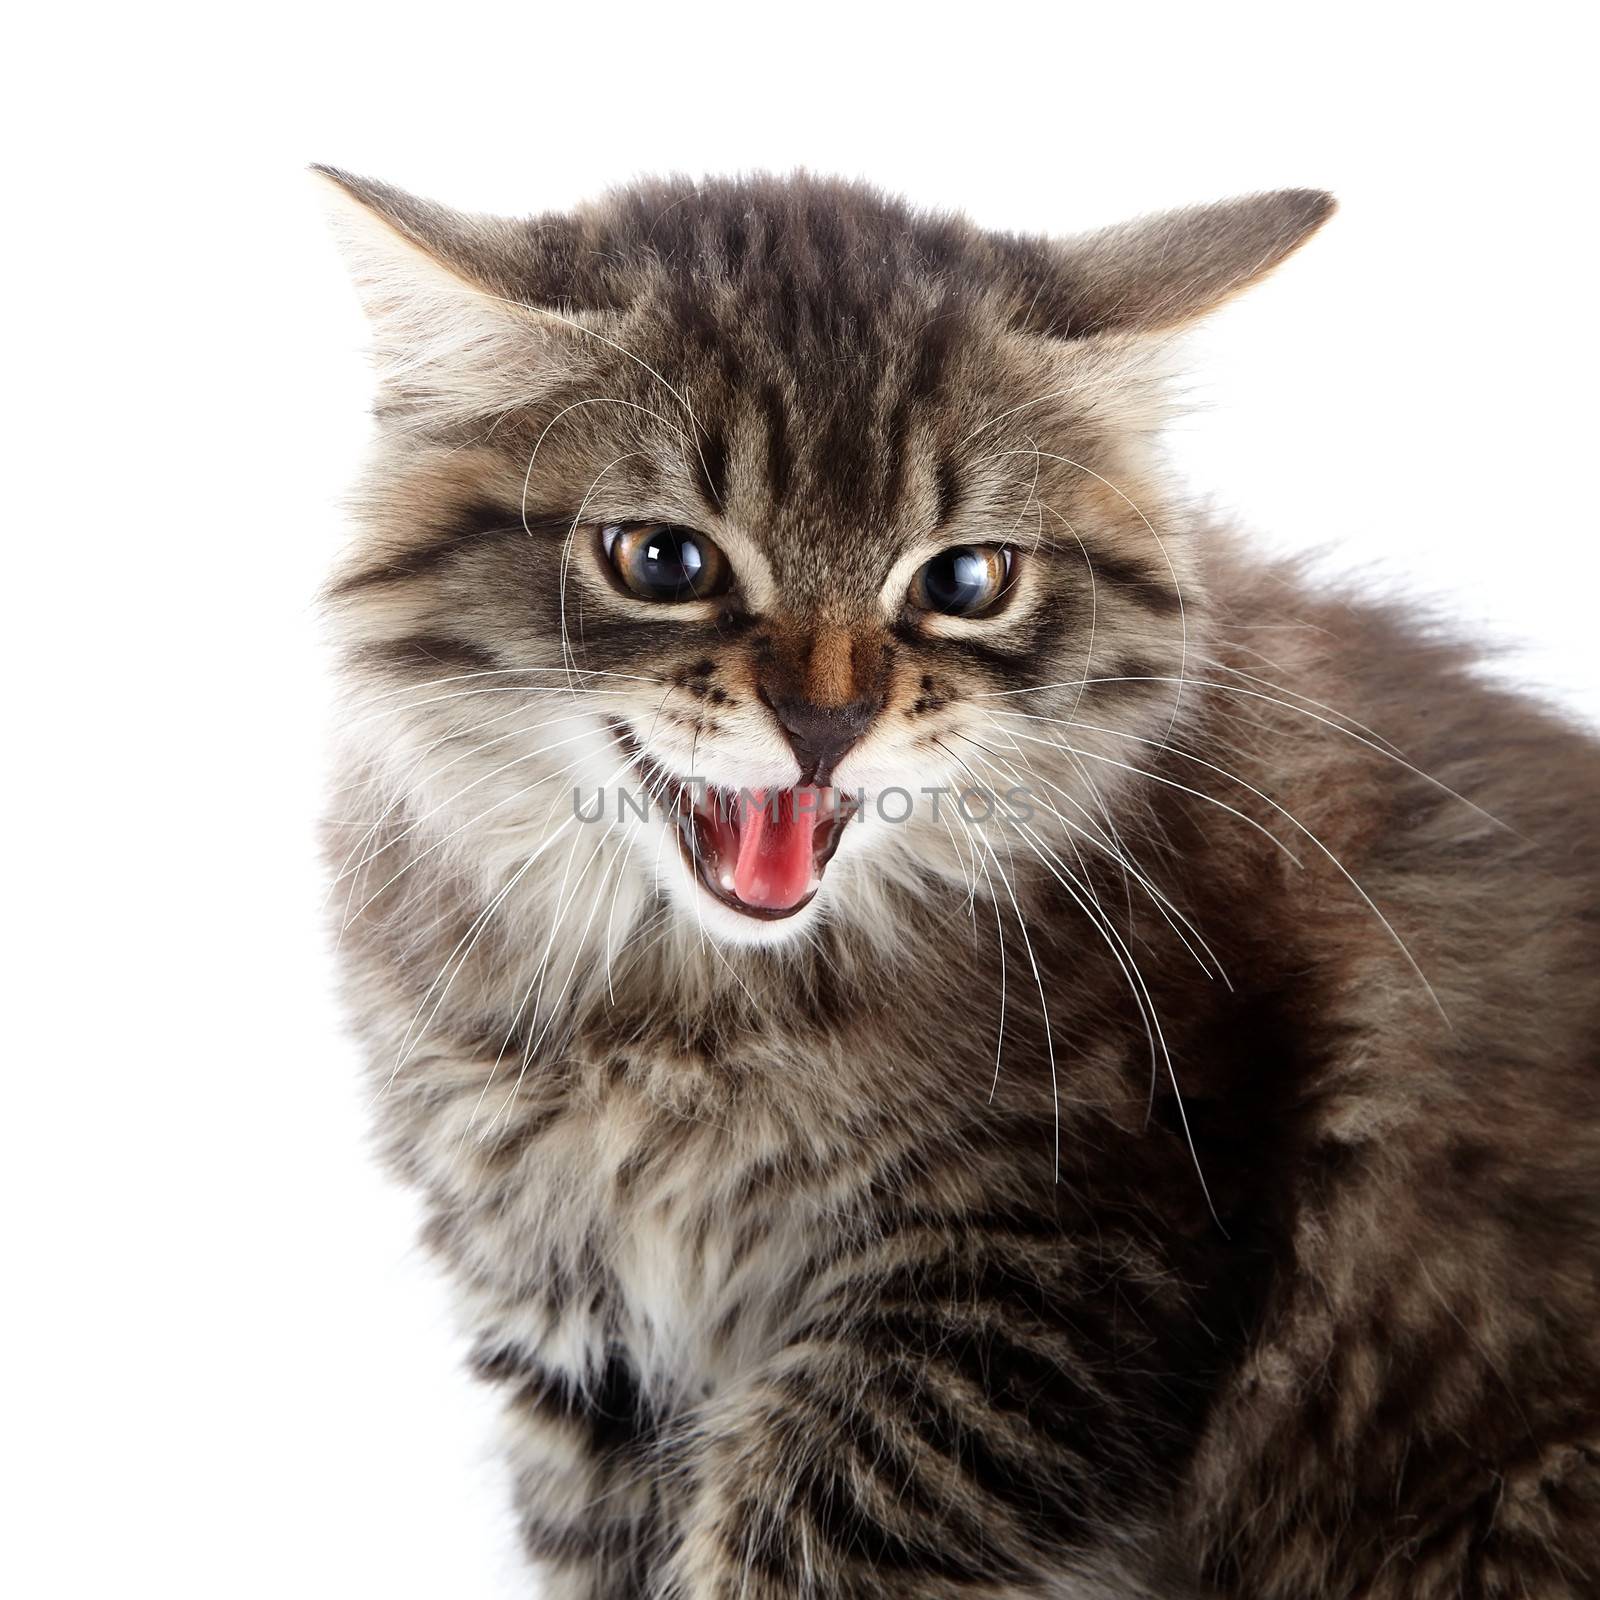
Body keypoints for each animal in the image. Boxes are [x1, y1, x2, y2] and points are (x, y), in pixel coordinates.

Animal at [315, 168, 1600, 1593]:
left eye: (966, 580)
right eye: (662, 560)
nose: (825, 721)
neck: (685, 1015)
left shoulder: (1035, 1285)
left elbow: (787, 1539)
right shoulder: (576, 1340)